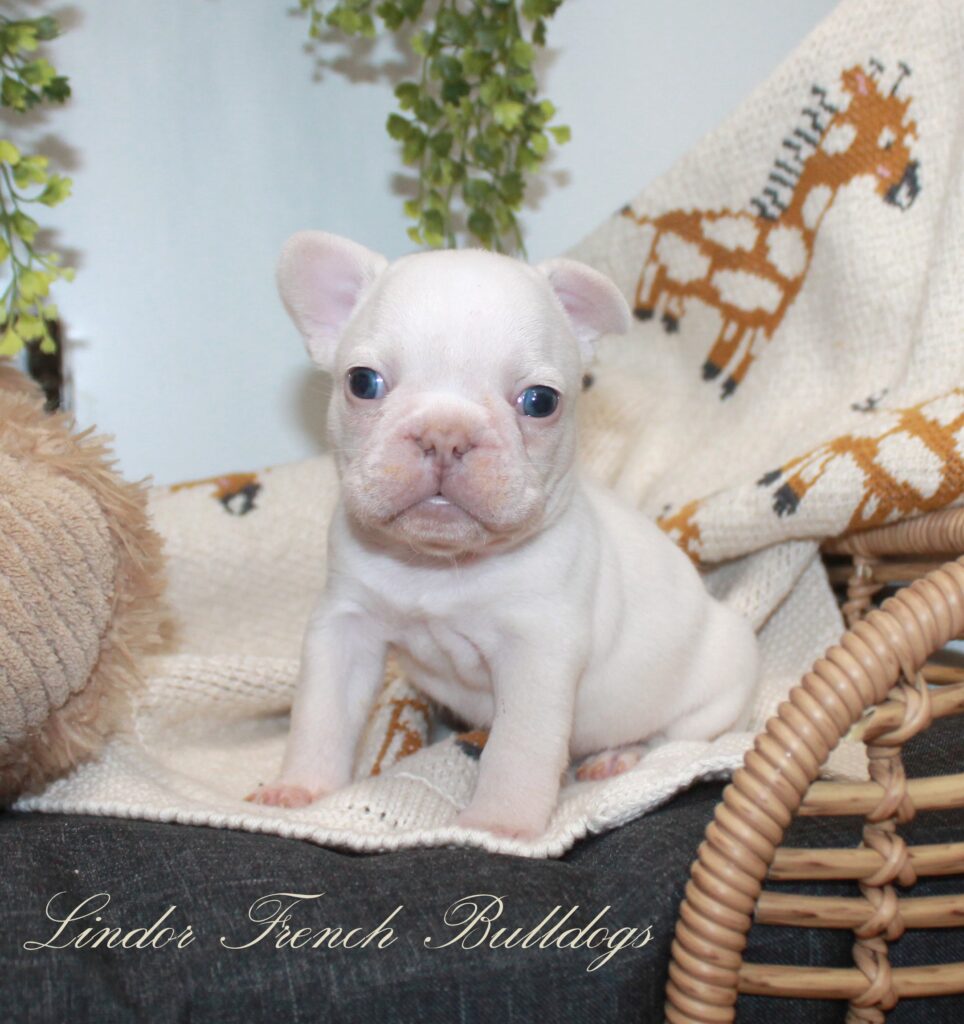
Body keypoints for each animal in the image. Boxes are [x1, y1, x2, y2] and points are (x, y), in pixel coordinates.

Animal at [249, 234, 758, 839]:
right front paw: (302, 789)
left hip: (715, 685)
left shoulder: (537, 651)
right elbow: (321, 714)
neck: (440, 565)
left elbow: (520, 746)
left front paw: (498, 823)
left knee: (670, 740)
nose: (445, 435)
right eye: (362, 383)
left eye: (541, 400)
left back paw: (619, 757)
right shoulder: (345, 626)